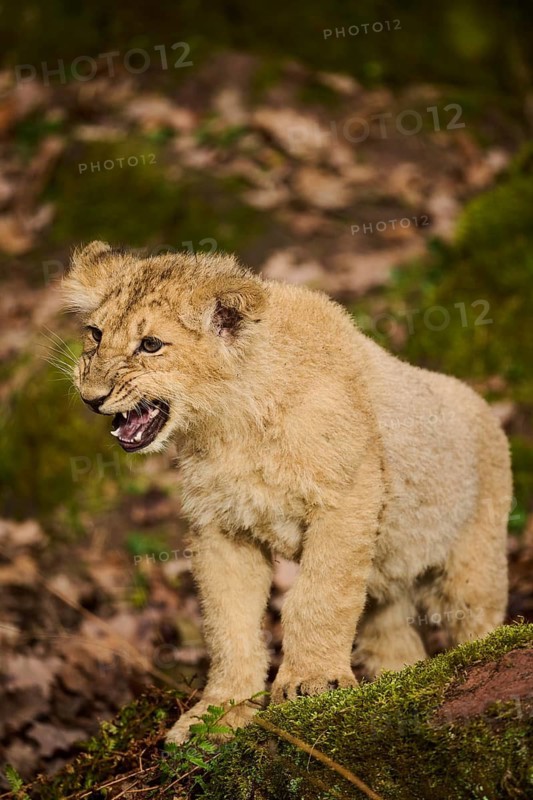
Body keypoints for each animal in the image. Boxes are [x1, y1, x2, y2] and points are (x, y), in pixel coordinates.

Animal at [63, 241, 512, 744]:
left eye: (151, 345)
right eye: (95, 334)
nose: (91, 397)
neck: (229, 426)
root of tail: (484, 405)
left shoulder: (346, 501)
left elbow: (319, 598)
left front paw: (310, 684)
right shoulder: (220, 529)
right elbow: (228, 624)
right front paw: (218, 713)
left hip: (473, 559)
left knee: (476, 616)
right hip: (387, 581)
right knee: (392, 634)